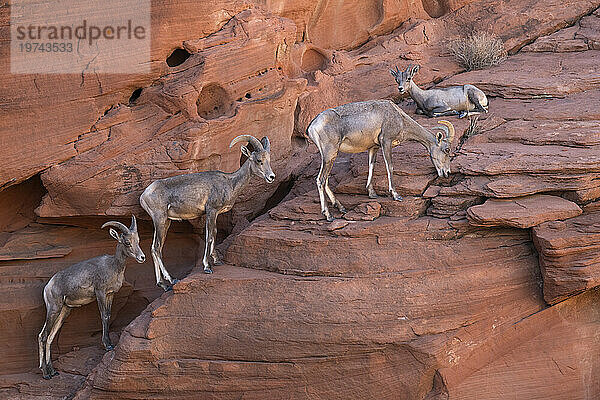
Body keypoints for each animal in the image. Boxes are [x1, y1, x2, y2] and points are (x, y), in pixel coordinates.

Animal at [38, 217, 144, 380]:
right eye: (127, 242)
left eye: (138, 240)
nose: (142, 257)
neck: (113, 266)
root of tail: (48, 286)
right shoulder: (100, 293)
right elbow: (104, 316)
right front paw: (108, 345)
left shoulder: (110, 294)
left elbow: (108, 315)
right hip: (54, 309)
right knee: (43, 336)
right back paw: (45, 374)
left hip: (64, 311)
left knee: (49, 337)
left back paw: (53, 371)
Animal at [139, 135, 276, 288]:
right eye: (259, 160)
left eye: (268, 160)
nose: (271, 177)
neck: (230, 183)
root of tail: (143, 195)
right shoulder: (211, 211)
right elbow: (209, 236)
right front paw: (207, 267)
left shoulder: (214, 214)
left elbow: (214, 234)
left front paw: (216, 261)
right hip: (160, 219)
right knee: (157, 248)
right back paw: (172, 279)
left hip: (166, 222)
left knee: (155, 248)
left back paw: (161, 283)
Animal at [310, 98, 454, 220]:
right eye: (447, 150)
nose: (447, 173)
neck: (399, 118)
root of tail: (312, 127)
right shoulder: (386, 142)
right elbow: (389, 167)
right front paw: (396, 195)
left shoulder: (373, 148)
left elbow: (371, 167)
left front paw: (372, 193)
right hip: (330, 154)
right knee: (321, 180)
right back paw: (328, 215)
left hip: (330, 157)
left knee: (325, 180)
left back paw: (341, 208)